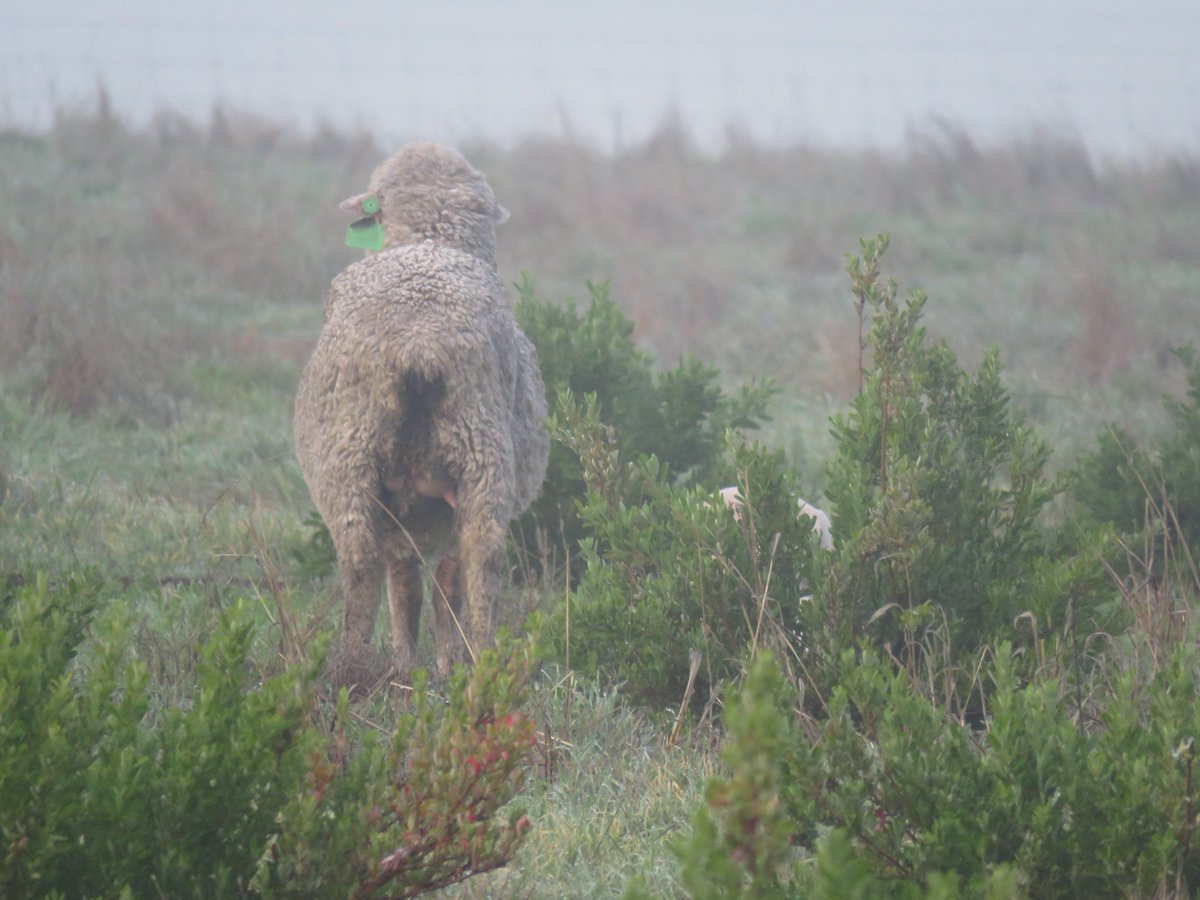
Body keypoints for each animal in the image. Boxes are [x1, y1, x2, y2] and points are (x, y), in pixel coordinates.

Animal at [294, 142, 550, 683]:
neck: (430, 240)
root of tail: (420, 341)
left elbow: (408, 580)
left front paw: (414, 662)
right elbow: (420, 581)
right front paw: (424, 663)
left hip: (357, 460)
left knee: (365, 564)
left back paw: (356, 665)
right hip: (474, 457)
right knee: (478, 557)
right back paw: (478, 660)